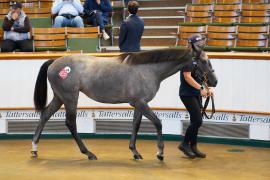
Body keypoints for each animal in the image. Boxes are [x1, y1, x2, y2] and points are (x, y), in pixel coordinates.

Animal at [31, 47, 217, 160]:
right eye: (203, 61)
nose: (214, 81)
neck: (147, 69)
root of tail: (54, 62)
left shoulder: (139, 104)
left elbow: (136, 124)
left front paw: (135, 152)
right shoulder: (140, 103)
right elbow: (157, 123)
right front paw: (160, 152)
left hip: (59, 97)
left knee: (45, 115)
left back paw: (34, 148)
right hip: (70, 98)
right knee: (70, 123)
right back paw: (89, 153)